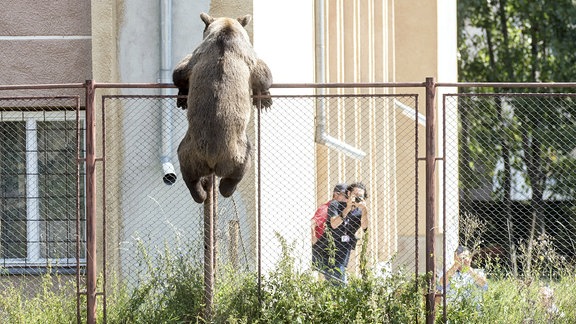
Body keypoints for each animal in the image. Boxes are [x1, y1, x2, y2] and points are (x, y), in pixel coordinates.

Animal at [172, 13, 274, 204]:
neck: (226, 30)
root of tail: (211, 159)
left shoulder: (196, 59)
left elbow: (180, 73)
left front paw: (182, 97)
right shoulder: (245, 55)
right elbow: (263, 72)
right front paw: (265, 99)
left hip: (190, 150)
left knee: (188, 173)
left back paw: (200, 192)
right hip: (235, 151)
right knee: (242, 165)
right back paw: (224, 188)